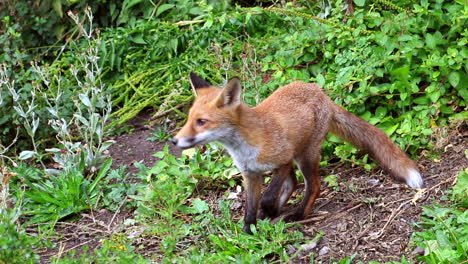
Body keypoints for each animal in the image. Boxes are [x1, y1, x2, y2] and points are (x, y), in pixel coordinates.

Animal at [172, 71, 424, 233]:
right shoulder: (250, 174)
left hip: (305, 156)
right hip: (298, 155)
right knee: (294, 183)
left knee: (314, 185)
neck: (245, 146)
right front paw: (249, 228)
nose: (174, 140)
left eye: (201, 122)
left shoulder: (282, 160)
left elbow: (268, 197)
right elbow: (251, 206)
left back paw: (299, 214)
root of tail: (320, 92)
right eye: (189, 119)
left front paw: (269, 210)